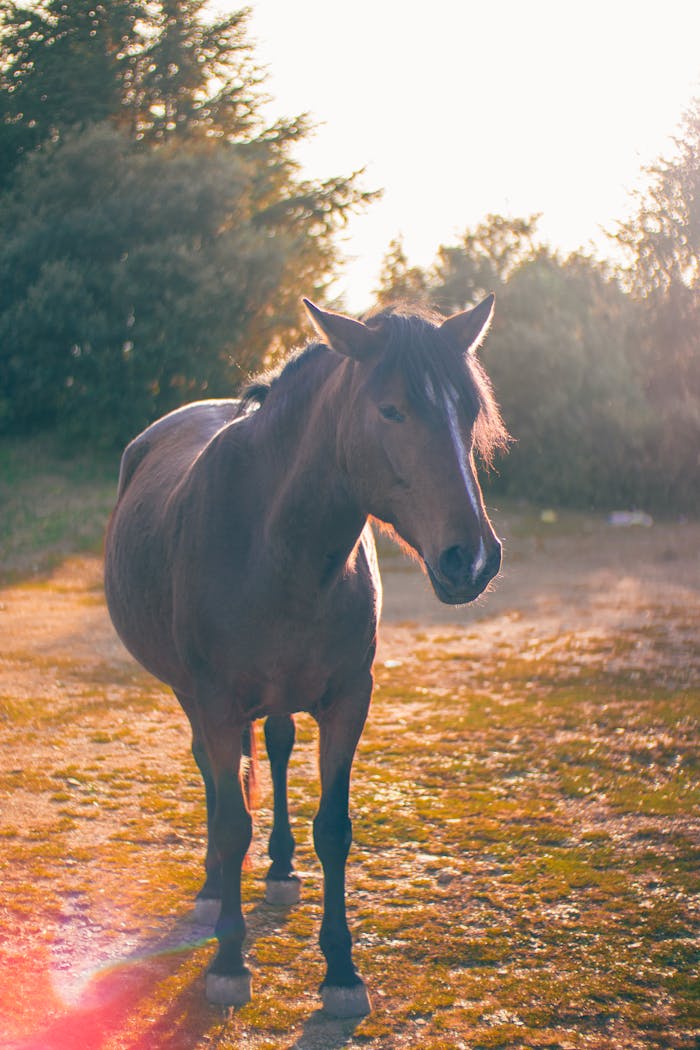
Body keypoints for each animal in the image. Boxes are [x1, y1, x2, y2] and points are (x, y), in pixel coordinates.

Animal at [103, 293, 508, 1017]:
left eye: (467, 411)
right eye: (391, 409)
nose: (474, 558)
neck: (273, 544)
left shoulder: (349, 699)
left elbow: (334, 829)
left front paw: (342, 970)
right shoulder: (215, 701)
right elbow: (231, 819)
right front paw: (229, 963)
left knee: (276, 746)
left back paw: (280, 867)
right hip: (190, 694)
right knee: (214, 774)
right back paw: (214, 887)